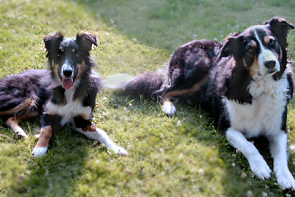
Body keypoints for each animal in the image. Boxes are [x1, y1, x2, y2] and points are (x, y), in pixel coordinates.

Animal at [118, 17, 295, 189]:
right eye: (250, 49)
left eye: (272, 42)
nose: (271, 63)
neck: (261, 87)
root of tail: (184, 45)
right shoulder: (227, 126)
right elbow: (249, 145)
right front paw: (260, 166)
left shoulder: (278, 129)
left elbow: (281, 155)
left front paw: (286, 177)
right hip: (198, 67)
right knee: (163, 91)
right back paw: (169, 107)